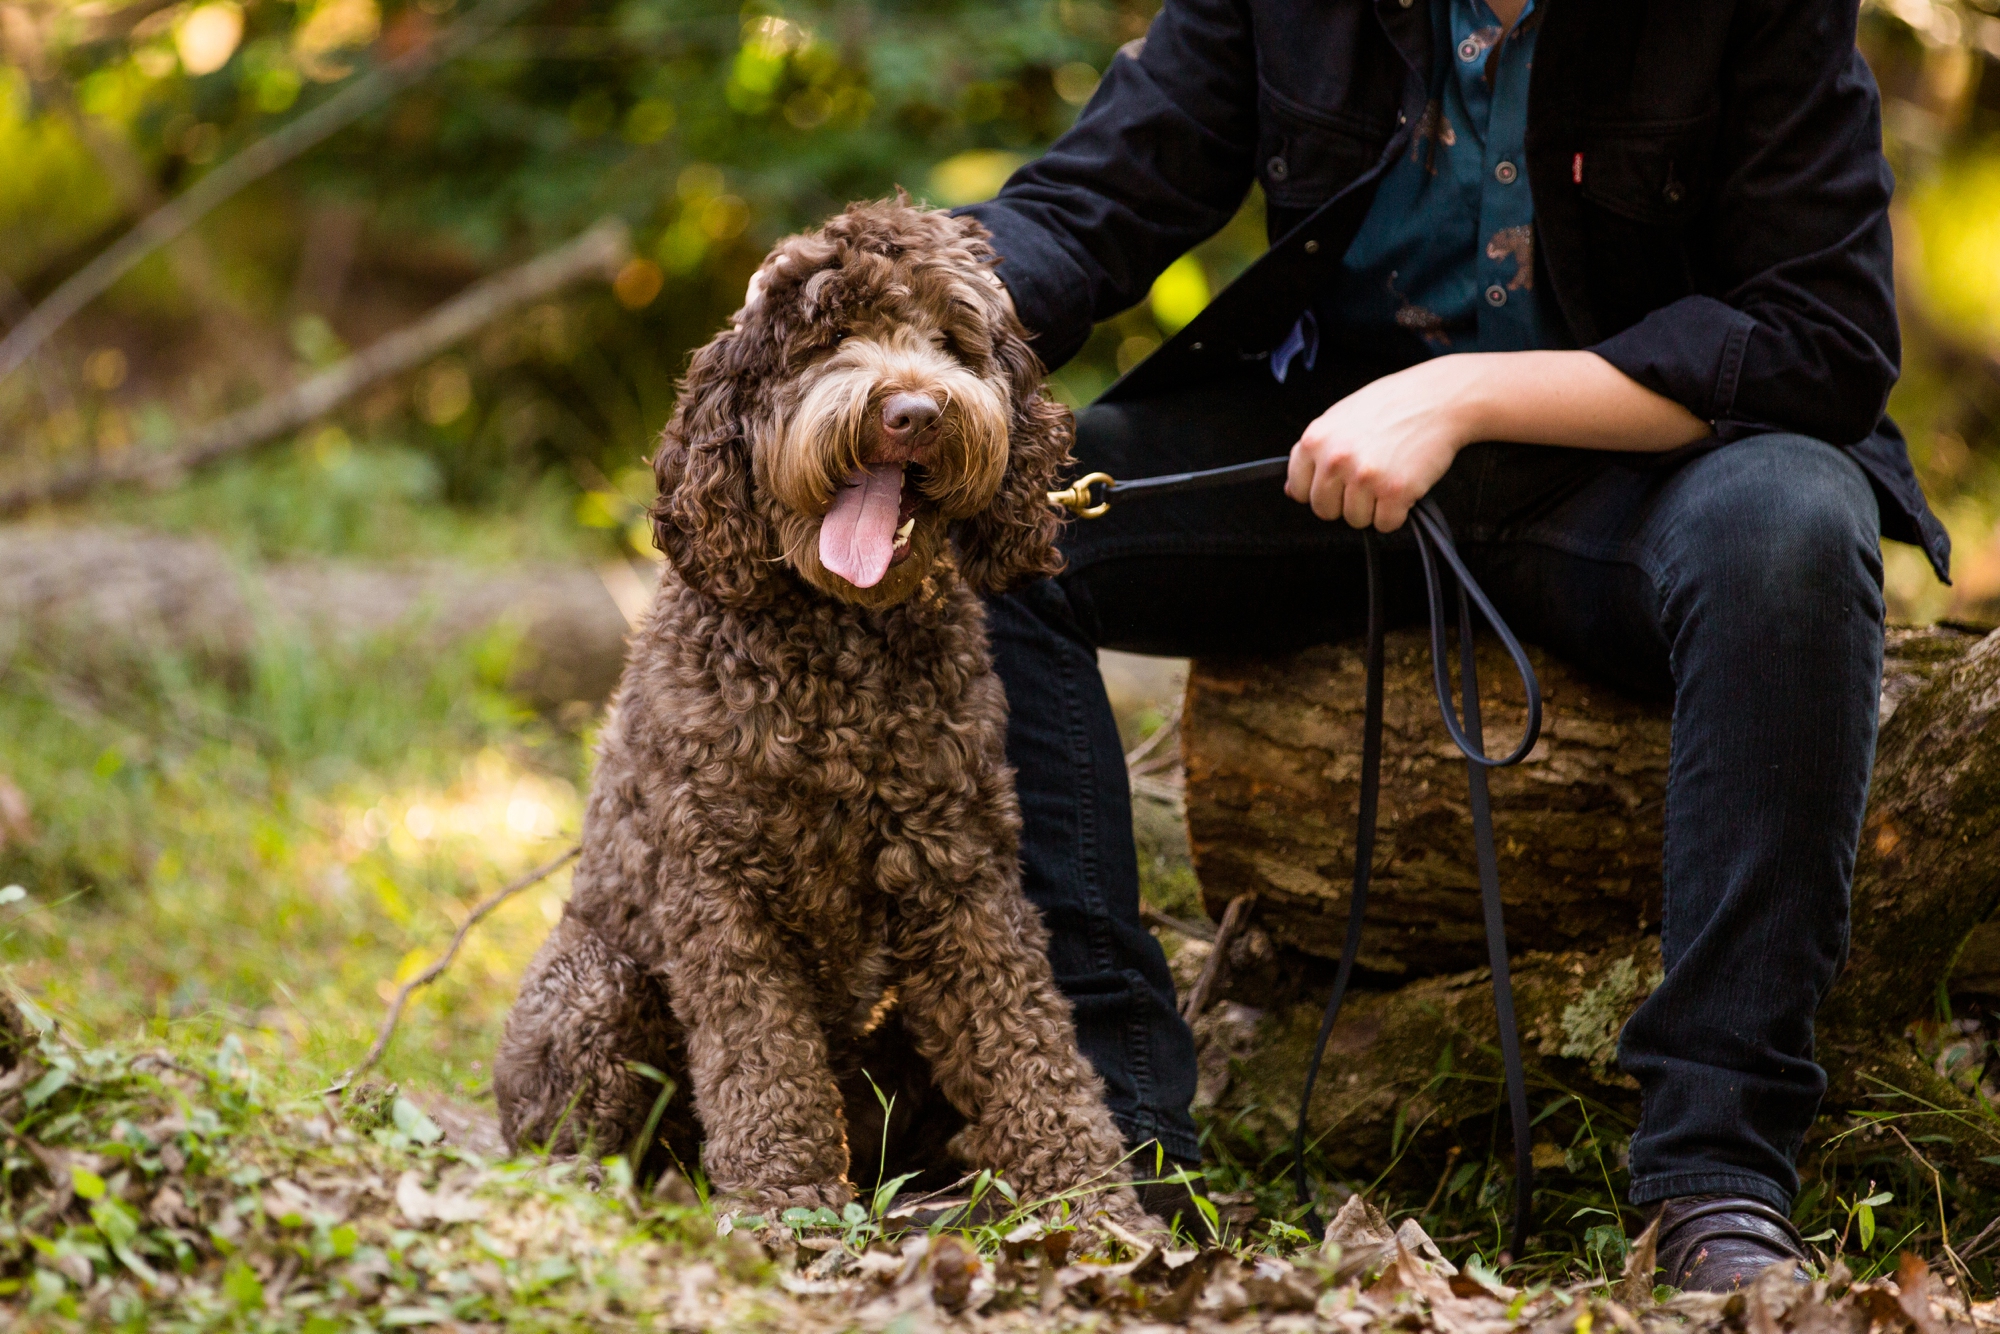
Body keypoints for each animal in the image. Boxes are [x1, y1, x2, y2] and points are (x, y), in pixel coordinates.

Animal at [494, 198, 1160, 1232]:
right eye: (830, 338)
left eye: (951, 342)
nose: (913, 411)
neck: (839, 641)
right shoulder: (718, 887)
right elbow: (762, 1054)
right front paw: (784, 1200)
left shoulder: (961, 873)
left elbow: (1024, 1035)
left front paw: (1088, 1196)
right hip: (592, 983)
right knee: (572, 1131)